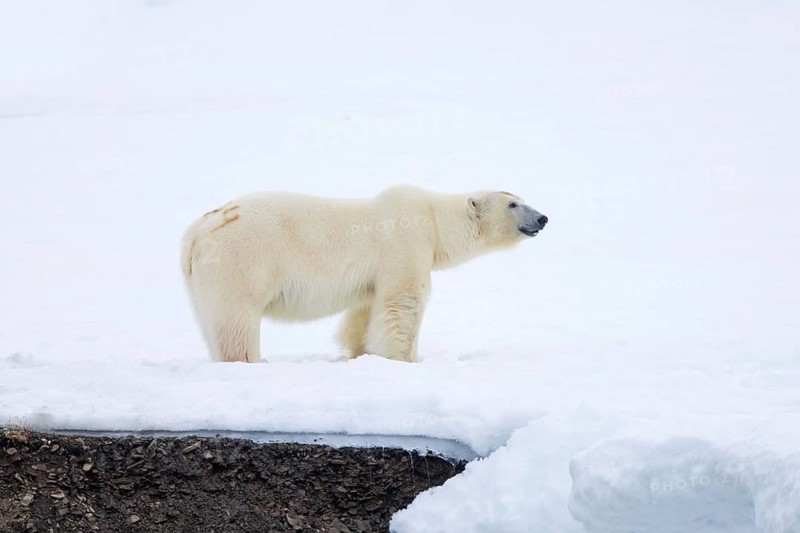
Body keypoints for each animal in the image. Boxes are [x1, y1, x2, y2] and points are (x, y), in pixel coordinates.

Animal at [181, 185, 548, 363]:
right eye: (513, 204)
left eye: (522, 199)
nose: (543, 218)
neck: (433, 218)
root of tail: (195, 232)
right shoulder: (404, 243)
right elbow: (403, 302)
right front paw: (406, 359)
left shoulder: (373, 275)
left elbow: (365, 310)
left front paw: (362, 352)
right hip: (240, 261)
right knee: (236, 320)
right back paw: (250, 361)